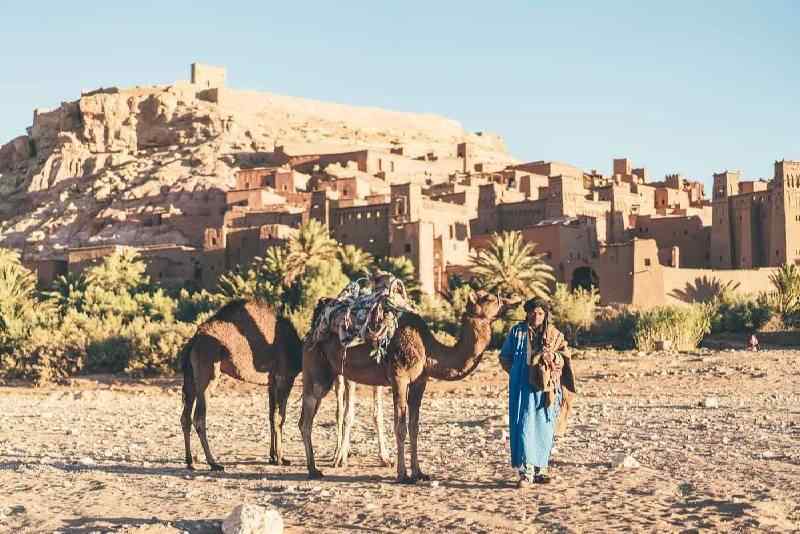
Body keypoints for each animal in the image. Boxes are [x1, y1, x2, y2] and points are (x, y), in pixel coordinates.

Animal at [182, 302, 394, 474]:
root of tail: (193, 341)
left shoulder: (272, 382)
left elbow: (271, 416)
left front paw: (273, 456)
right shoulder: (285, 378)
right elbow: (280, 417)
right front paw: (281, 458)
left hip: (190, 377)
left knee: (185, 417)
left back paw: (190, 461)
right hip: (208, 372)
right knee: (199, 417)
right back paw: (213, 463)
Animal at [298, 292, 512, 484]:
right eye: (488, 298)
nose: (509, 301)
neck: (428, 349)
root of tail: (311, 332)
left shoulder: (420, 381)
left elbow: (414, 426)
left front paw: (419, 473)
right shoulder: (398, 378)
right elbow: (400, 426)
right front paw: (403, 475)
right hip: (316, 370)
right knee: (306, 419)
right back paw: (314, 469)